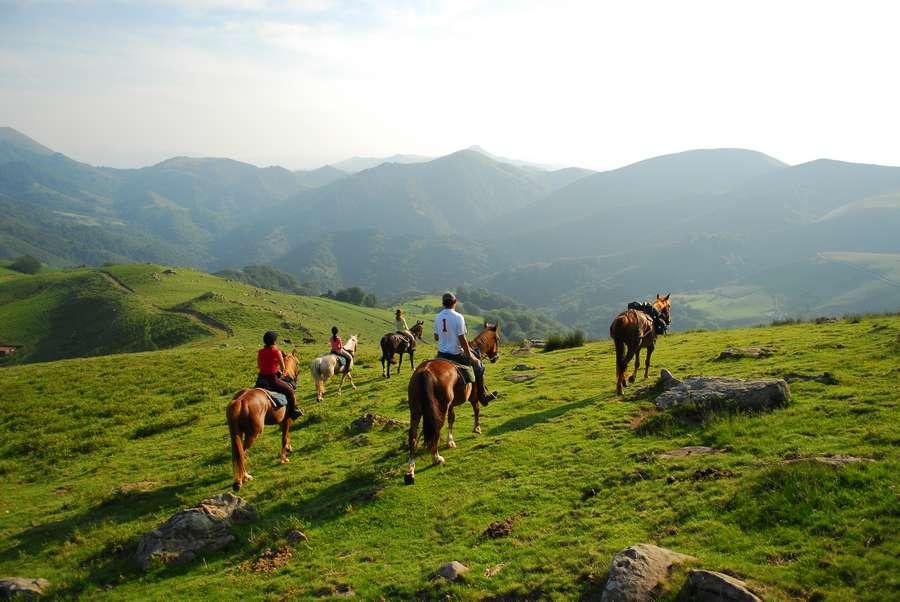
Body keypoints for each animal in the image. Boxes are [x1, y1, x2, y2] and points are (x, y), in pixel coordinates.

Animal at [225, 344, 302, 490]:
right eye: (298, 363)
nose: (296, 378)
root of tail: (239, 402)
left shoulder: (282, 421)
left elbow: (286, 435)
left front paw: (288, 448)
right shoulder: (287, 419)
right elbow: (284, 437)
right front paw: (284, 458)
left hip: (237, 433)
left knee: (237, 454)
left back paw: (238, 479)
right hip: (253, 433)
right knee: (242, 453)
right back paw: (245, 477)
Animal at [404, 318, 502, 482]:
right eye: (498, 339)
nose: (495, 357)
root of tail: (425, 371)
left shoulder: (451, 405)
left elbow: (452, 418)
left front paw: (450, 441)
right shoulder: (473, 396)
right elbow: (476, 409)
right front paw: (477, 428)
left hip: (416, 410)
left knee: (412, 435)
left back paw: (410, 470)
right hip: (439, 408)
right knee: (436, 428)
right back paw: (436, 457)